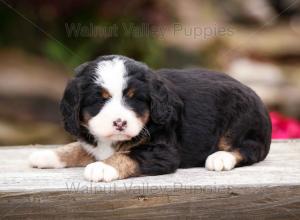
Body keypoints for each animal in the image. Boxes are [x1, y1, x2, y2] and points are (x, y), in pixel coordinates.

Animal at [28, 55, 272, 182]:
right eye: (100, 99)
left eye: (133, 98)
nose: (120, 123)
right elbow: (79, 147)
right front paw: (48, 155)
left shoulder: (163, 152)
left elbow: (127, 155)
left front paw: (103, 167)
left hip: (241, 121)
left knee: (249, 149)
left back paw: (220, 158)